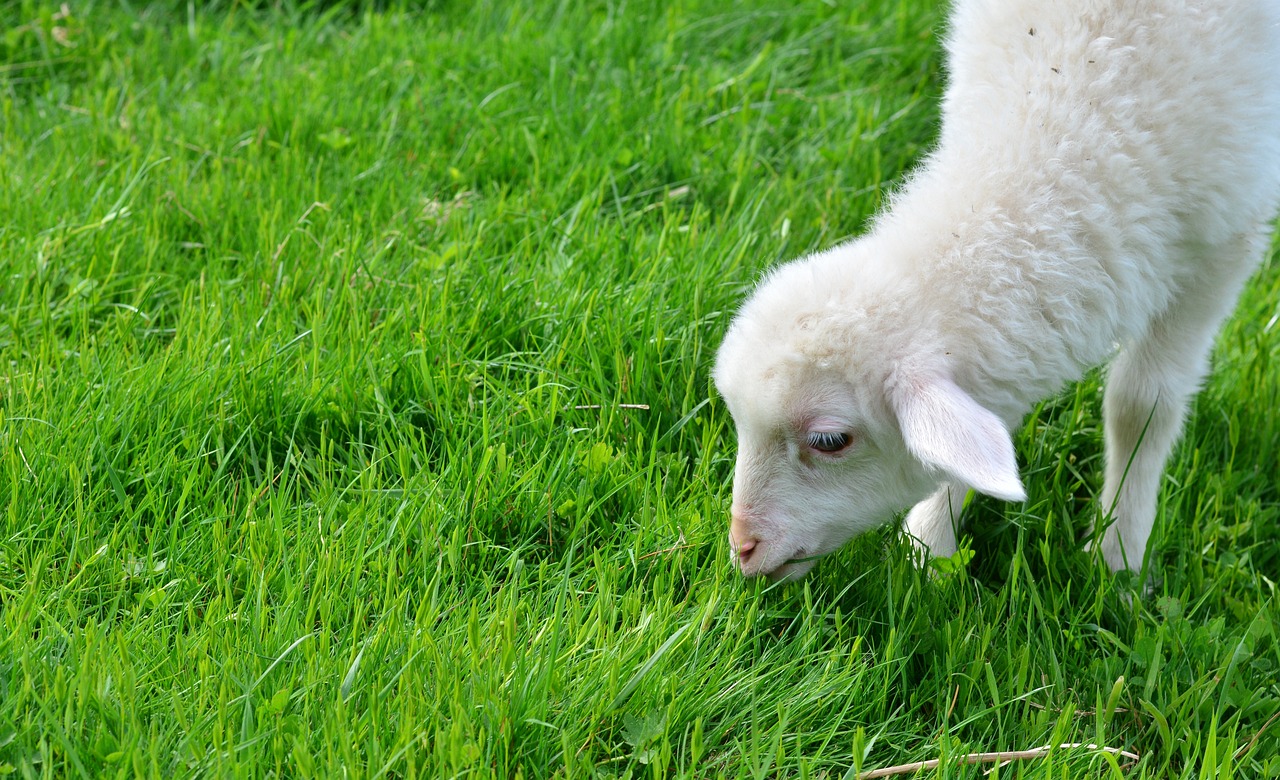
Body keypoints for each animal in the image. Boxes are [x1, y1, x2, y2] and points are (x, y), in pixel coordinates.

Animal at [711, 0, 1280, 578]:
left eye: (830, 441)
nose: (743, 547)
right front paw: (930, 550)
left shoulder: (1226, 241)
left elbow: (1142, 404)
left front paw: (1117, 557)